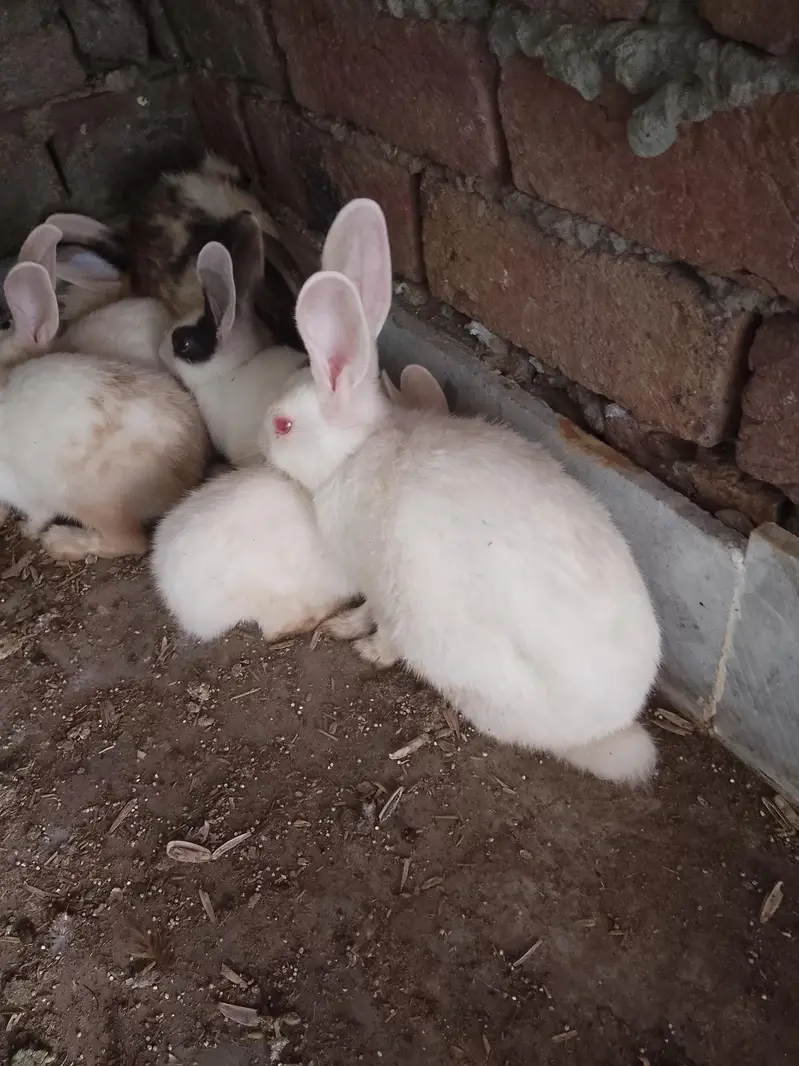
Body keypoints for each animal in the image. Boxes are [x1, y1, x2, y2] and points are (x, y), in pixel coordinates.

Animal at [0, 246, 209, 561]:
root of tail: (188, 470)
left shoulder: (27, 491)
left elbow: (37, 514)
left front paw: (28, 531)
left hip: (88, 500)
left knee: (128, 541)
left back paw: (60, 541)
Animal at [263, 199, 662, 786]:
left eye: (284, 426)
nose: (259, 441)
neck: (358, 453)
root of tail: (602, 730)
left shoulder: (388, 589)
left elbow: (383, 626)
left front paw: (360, 644)